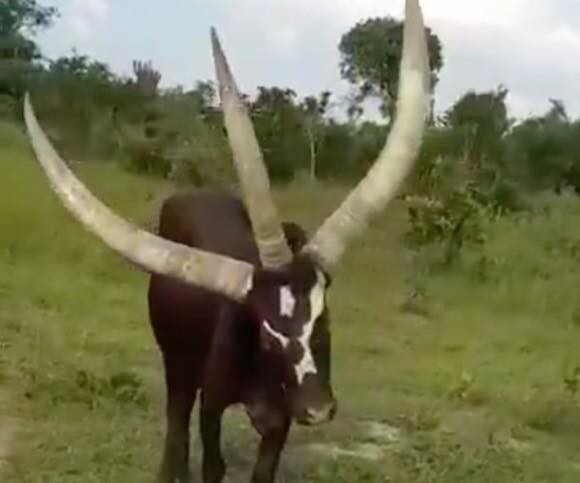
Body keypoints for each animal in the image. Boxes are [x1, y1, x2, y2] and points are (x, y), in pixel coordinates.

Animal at [22, 1, 430, 482]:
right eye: (269, 336)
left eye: (324, 320)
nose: (318, 409)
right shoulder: (212, 405)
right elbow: (211, 462)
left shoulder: (279, 418)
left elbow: (264, 471)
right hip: (176, 362)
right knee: (176, 422)